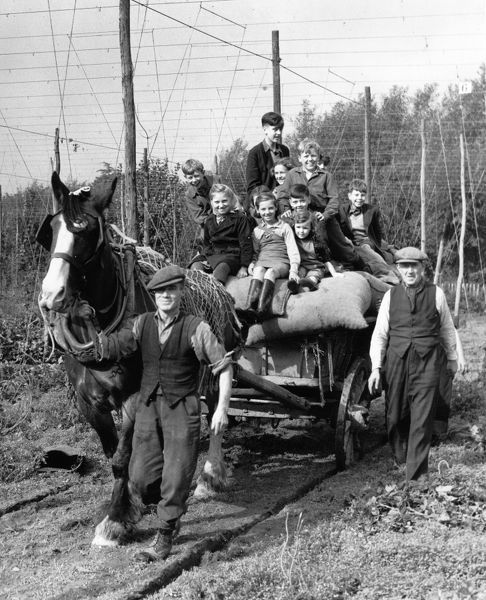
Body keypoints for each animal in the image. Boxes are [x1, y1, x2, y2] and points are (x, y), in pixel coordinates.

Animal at [37, 171, 239, 548]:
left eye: (88, 231)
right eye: (52, 229)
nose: (51, 295)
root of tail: (215, 285)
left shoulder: (135, 395)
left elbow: (122, 459)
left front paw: (115, 521)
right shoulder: (88, 403)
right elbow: (111, 453)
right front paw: (135, 500)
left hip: (215, 364)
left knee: (218, 413)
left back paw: (210, 476)